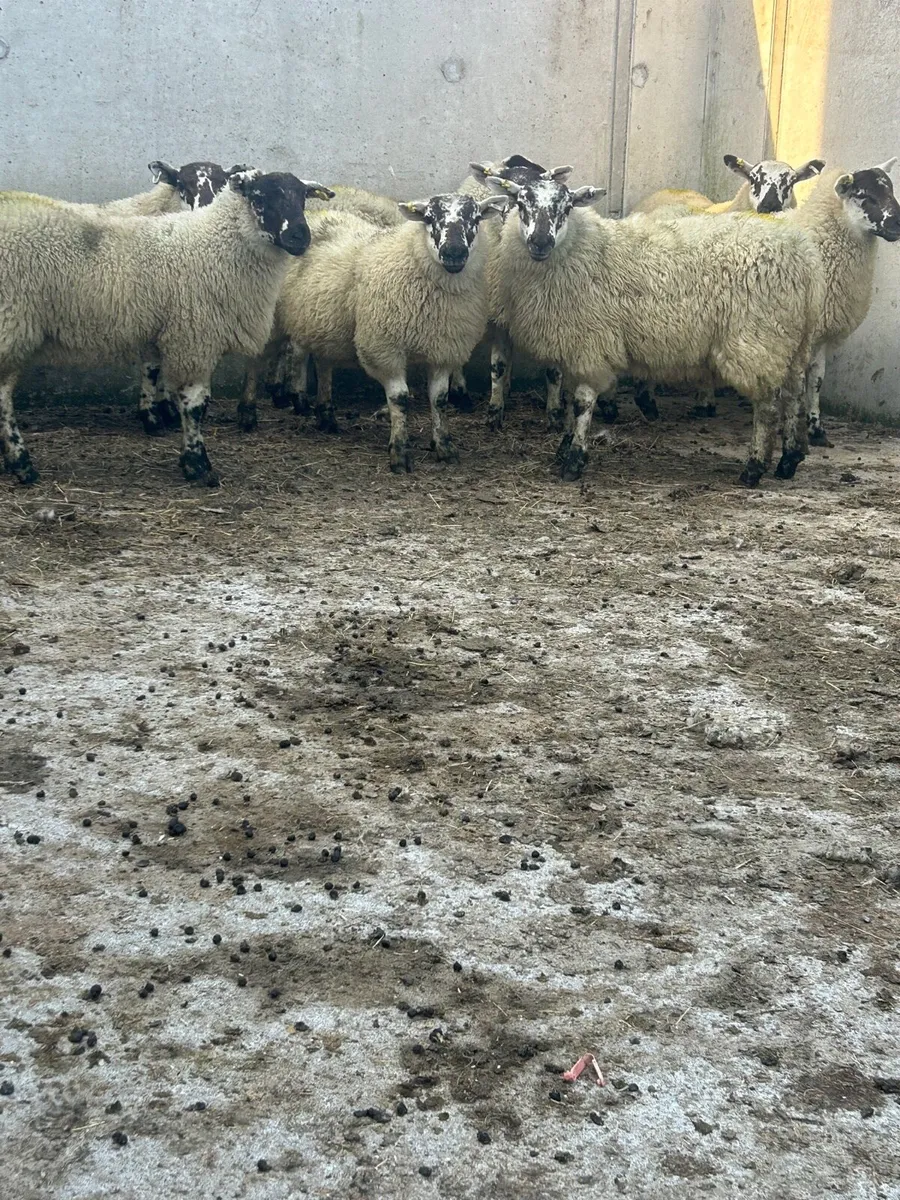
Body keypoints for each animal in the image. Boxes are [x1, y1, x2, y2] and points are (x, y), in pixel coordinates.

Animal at [0, 170, 332, 487]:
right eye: (260, 198)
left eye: (303, 197)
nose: (300, 236)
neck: (214, 244)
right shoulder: (194, 337)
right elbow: (195, 405)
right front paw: (197, 464)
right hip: (11, 323)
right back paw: (22, 465)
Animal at [272, 192, 506, 470]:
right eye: (429, 218)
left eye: (476, 218)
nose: (454, 252)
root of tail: (320, 215)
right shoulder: (384, 348)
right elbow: (400, 398)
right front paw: (400, 452)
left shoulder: (443, 349)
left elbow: (439, 399)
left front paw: (444, 446)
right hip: (297, 315)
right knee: (297, 353)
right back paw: (299, 400)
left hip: (325, 323)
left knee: (323, 363)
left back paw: (326, 415)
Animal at [489, 174, 824, 486]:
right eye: (521, 203)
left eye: (567, 206)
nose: (540, 242)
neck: (584, 250)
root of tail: (802, 253)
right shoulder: (574, 348)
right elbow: (572, 400)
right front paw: (565, 446)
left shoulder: (591, 343)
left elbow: (582, 402)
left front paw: (573, 460)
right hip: (793, 340)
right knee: (794, 394)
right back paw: (789, 459)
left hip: (759, 340)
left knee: (767, 405)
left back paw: (754, 468)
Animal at [785, 160, 900, 451]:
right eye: (867, 196)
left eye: (892, 192)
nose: (898, 224)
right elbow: (797, 381)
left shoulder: (822, 332)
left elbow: (816, 380)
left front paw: (816, 429)